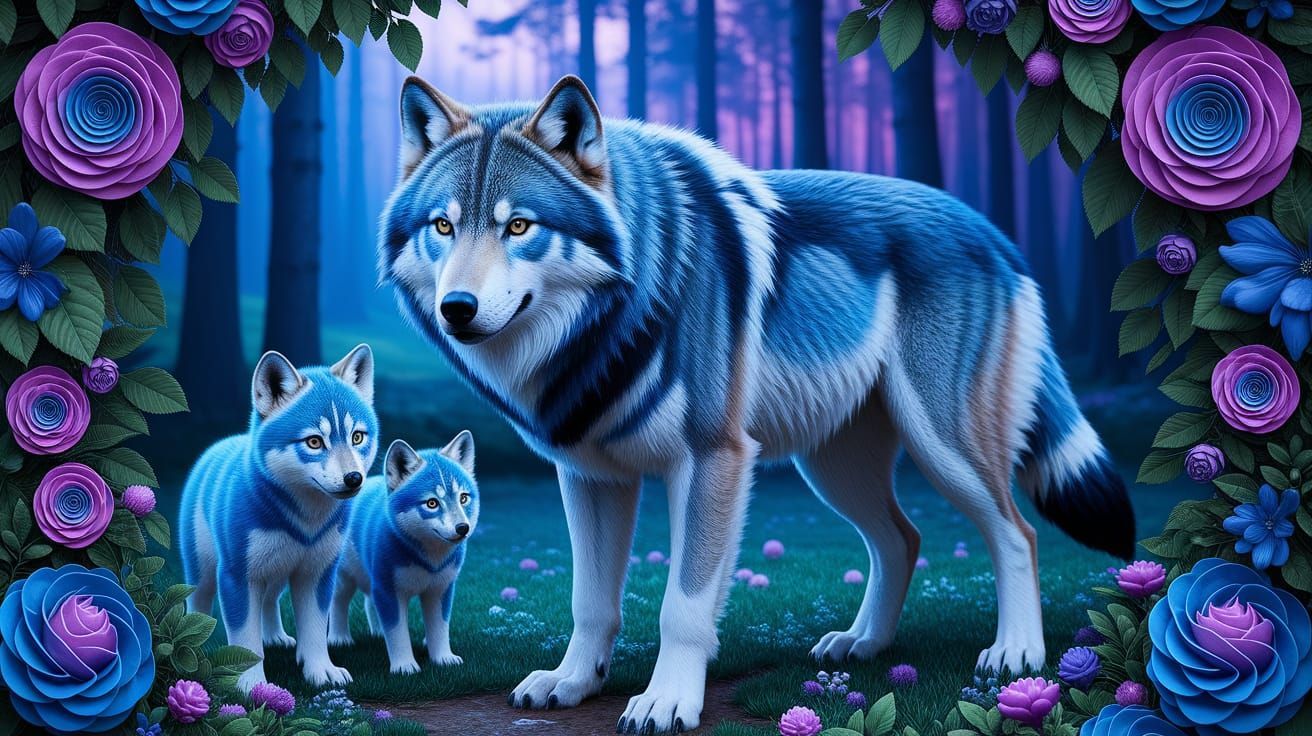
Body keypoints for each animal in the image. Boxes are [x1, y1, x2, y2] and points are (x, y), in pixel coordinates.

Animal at [180, 345, 378, 693]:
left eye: (357, 437)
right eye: (314, 441)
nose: (354, 478)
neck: (304, 519)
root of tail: (220, 444)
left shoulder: (317, 574)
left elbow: (315, 630)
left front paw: (320, 671)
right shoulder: (237, 576)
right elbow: (245, 639)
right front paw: (251, 685)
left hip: (276, 573)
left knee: (270, 603)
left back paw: (275, 638)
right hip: (202, 572)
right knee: (199, 606)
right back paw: (199, 649)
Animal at [328, 432, 478, 674]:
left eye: (463, 498)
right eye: (432, 503)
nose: (463, 528)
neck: (429, 559)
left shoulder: (441, 589)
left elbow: (439, 628)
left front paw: (443, 658)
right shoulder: (390, 590)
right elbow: (398, 633)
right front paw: (404, 666)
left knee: (370, 602)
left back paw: (378, 633)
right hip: (345, 579)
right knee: (338, 602)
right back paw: (339, 638)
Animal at [377, 74, 1134, 733]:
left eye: (519, 227)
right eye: (442, 227)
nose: (456, 308)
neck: (615, 318)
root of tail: (995, 233)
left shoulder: (713, 460)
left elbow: (682, 607)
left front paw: (666, 702)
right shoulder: (589, 476)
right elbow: (590, 601)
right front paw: (571, 681)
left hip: (942, 448)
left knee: (1016, 532)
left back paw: (1016, 654)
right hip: (833, 469)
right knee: (903, 538)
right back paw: (862, 644)